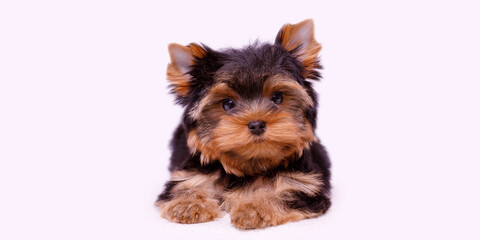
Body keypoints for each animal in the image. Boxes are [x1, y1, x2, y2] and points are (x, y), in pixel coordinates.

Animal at [157, 18, 330, 229]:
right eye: (227, 104)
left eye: (277, 97)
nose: (256, 124)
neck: (250, 165)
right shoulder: (188, 176)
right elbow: (186, 186)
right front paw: (187, 204)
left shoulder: (304, 185)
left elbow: (283, 194)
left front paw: (254, 208)